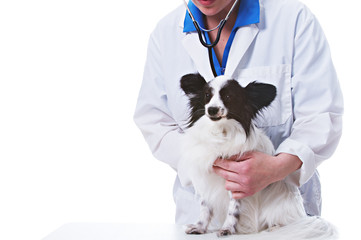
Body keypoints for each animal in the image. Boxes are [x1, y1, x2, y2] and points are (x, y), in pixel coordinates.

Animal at [177, 74, 334, 239]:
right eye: (207, 95)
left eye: (228, 96)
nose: (212, 109)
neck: (221, 131)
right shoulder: (206, 181)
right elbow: (205, 207)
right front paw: (200, 227)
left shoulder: (237, 181)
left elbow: (233, 209)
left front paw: (227, 229)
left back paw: (275, 228)